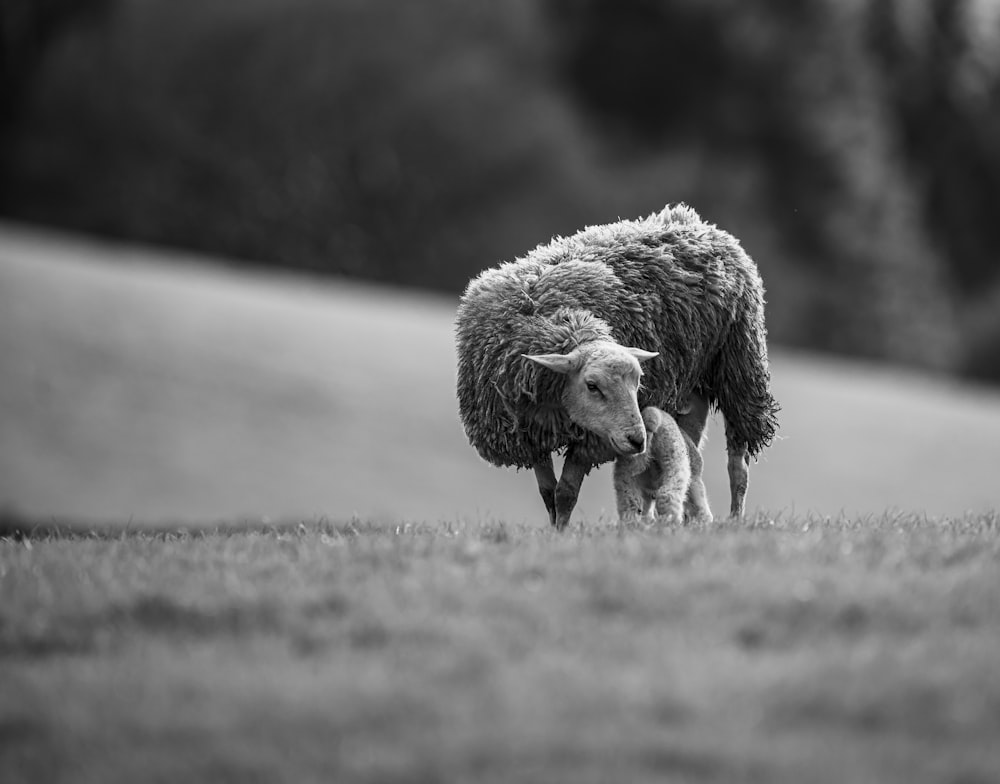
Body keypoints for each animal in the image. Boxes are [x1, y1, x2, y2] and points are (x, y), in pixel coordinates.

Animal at [456, 204, 780, 532]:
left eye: (638, 383)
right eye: (592, 385)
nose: (637, 440)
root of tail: (696, 223)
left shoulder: (590, 438)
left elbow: (565, 493)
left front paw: (562, 532)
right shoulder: (529, 434)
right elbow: (548, 493)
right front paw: (554, 529)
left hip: (739, 370)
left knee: (738, 465)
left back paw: (734, 518)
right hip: (692, 388)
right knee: (690, 453)